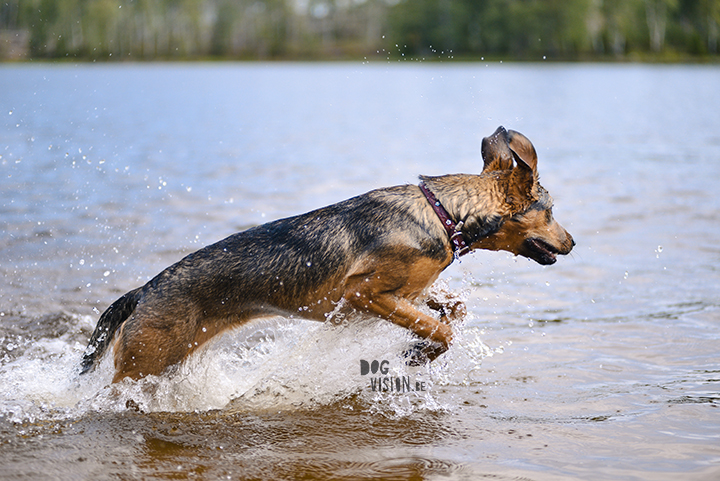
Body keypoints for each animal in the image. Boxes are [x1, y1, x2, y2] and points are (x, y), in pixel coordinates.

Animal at [80, 125, 572, 380]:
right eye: (550, 211)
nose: (572, 243)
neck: (444, 212)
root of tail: (143, 291)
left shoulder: (410, 289)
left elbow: (453, 309)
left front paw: (422, 346)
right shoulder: (363, 294)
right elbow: (440, 330)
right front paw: (416, 354)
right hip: (142, 363)